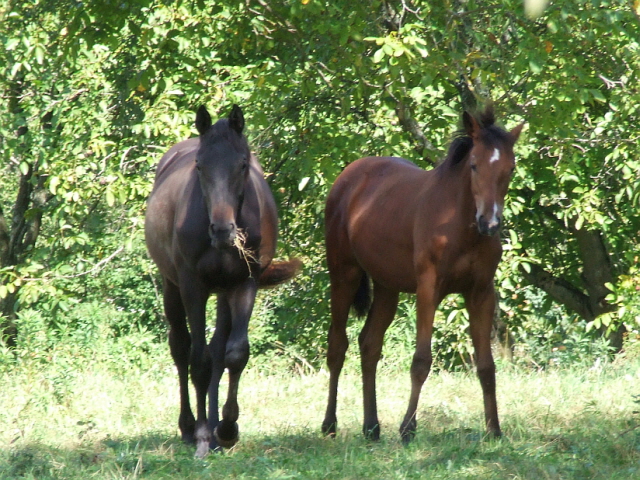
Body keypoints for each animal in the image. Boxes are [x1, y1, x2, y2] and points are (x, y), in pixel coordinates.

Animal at [145, 105, 300, 458]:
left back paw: (216, 431)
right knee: (181, 348)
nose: (222, 230)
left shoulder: (244, 284)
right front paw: (203, 435)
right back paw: (190, 427)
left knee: (217, 350)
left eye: (242, 164)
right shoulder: (192, 286)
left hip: (224, 294)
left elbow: (234, 354)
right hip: (173, 288)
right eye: (200, 165)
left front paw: (227, 428)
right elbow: (198, 361)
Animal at [322, 107, 524, 444]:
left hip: (387, 287)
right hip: (343, 275)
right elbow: (421, 361)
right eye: (474, 165)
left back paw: (371, 427)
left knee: (369, 344)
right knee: (338, 346)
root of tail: (347, 177)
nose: (490, 223)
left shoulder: (481, 293)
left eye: (510, 168)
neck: (460, 226)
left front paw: (494, 429)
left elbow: (486, 366)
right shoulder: (429, 289)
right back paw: (329, 424)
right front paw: (408, 428)